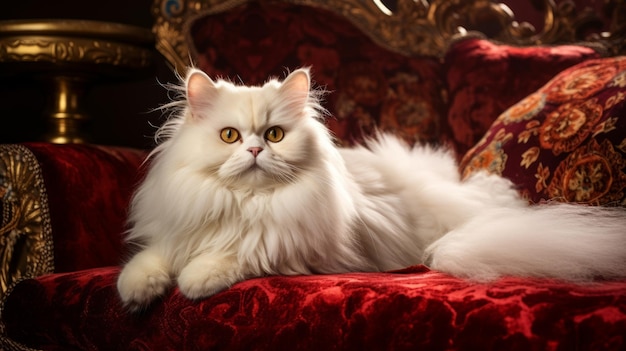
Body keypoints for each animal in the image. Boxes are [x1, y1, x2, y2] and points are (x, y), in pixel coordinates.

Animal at [117, 67, 624, 310]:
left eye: (275, 135)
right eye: (229, 137)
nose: (257, 150)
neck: (245, 204)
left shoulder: (292, 250)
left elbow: (238, 254)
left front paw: (195, 280)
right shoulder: (176, 233)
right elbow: (152, 259)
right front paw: (135, 291)